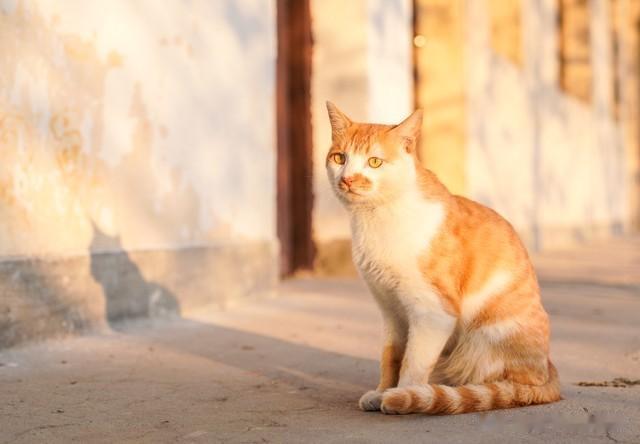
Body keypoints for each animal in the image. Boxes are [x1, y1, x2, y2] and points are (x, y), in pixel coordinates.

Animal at [324, 102, 560, 414]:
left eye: (374, 162)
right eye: (339, 158)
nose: (347, 179)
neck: (376, 218)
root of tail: (548, 370)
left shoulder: (432, 312)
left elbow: (412, 364)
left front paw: (404, 395)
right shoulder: (391, 311)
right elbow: (391, 358)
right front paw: (382, 392)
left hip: (483, 341)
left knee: (498, 384)